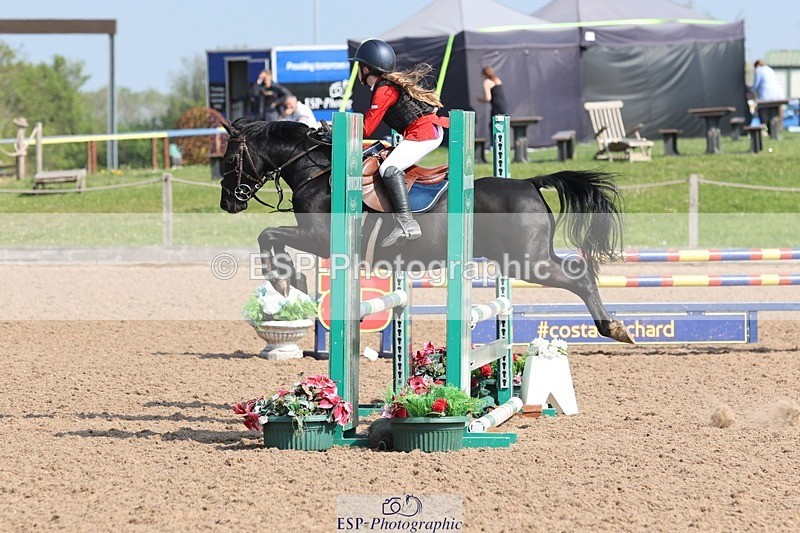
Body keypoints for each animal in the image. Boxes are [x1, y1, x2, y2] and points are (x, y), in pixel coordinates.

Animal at [218, 118, 634, 344]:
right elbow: (270, 235)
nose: (227, 202)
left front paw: (284, 280)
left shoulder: (320, 241)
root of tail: (530, 182)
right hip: (530, 258)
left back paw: (613, 327)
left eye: (230, 157)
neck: (319, 172)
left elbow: (269, 234)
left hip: (527, 263)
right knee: (580, 271)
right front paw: (292, 281)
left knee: (580, 279)